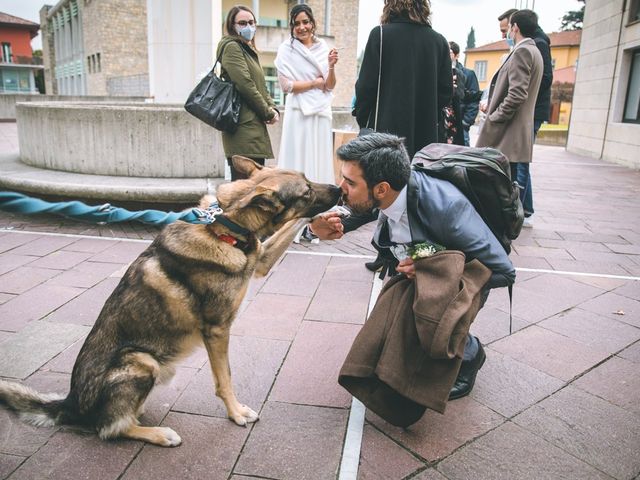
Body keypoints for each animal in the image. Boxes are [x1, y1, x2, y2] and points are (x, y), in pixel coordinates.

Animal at [0, 158, 342, 446]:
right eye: (306, 191)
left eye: (308, 179)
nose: (340, 189)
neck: (222, 227)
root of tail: (71, 403)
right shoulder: (217, 331)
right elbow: (225, 379)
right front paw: (236, 413)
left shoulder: (261, 260)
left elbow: (290, 227)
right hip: (142, 361)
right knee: (109, 428)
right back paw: (158, 433)